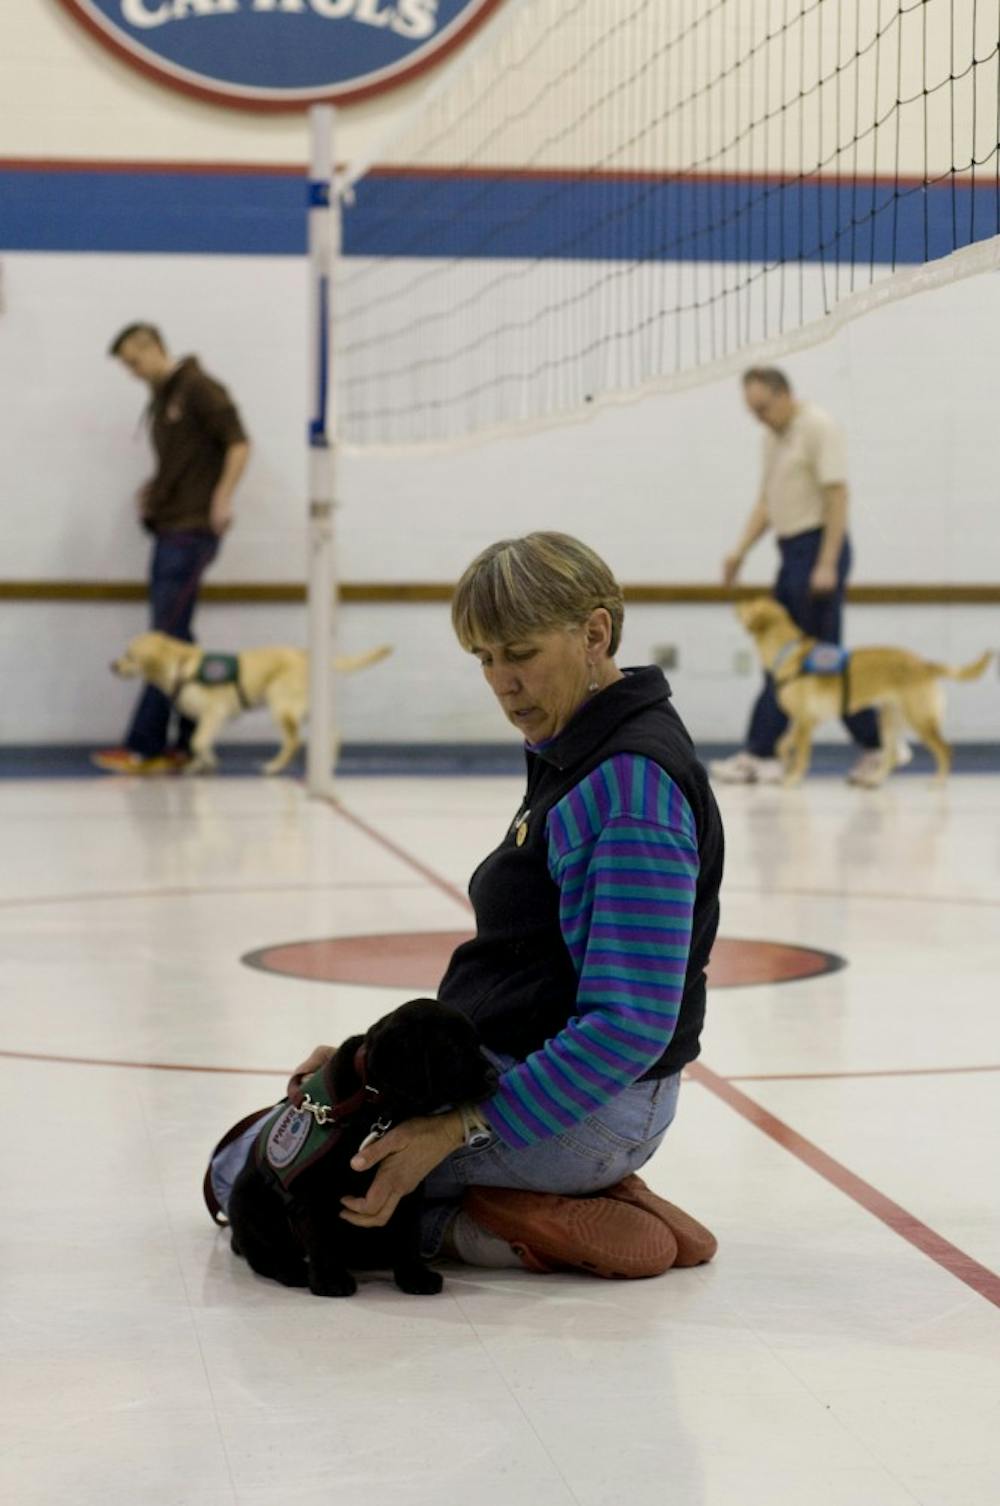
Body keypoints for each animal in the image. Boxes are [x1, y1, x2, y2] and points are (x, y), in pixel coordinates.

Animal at [110, 632, 391, 777]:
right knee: (334, 733)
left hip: (281, 705)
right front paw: (198, 765)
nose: (112, 665)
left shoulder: (214, 713)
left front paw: (208, 761)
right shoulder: (205, 719)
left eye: (128, 655)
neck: (180, 668)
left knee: (293, 741)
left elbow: (198, 741)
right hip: (308, 707)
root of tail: (306, 654)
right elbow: (197, 743)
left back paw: (274, 766)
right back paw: (327, 765)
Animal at [222, 999, 496, 1295]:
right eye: (453, 1047)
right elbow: (321, 1235)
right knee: (267, 1255)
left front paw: (414, 1276)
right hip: (251, 1201)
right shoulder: (314, 1187)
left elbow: (409, 1232)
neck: (374, 1102)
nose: (495, 1075)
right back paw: (295, 1271)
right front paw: (330, 1280)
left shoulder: (403, 1180)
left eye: (477, 1044)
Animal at [737, 599, 987, 789]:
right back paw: (874, 781)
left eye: (752, 601)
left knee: (945, 749)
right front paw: (783, 762)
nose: (738, 601)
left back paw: (938, 781)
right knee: (891, 755)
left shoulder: (806, 722)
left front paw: (793, 777)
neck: (788, 653)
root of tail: (924, 664)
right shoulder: (803, 721)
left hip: (920, 719)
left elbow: (802, 755)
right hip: (890, 719)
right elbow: (782, 743)